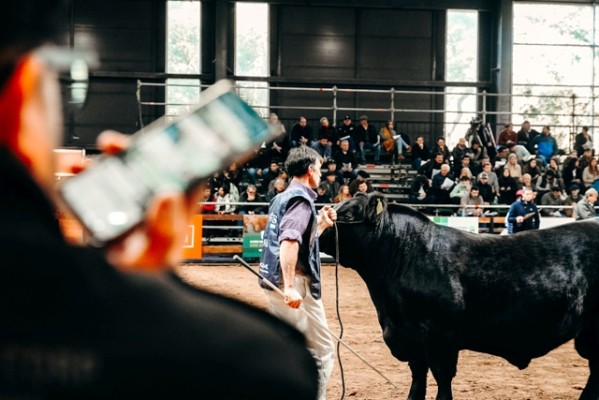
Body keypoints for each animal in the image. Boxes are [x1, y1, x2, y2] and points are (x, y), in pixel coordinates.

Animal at [322, 192, 599, 398]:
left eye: (348, 213)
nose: (320, 223)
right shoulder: (412, 343)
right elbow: (417, 383)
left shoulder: (440, 338)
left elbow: (443, 382)